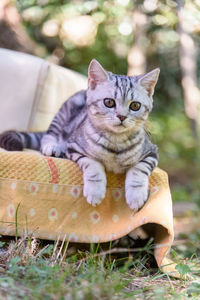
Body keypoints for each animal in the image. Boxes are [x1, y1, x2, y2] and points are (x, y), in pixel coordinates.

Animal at [0, 59, 159, 211]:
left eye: (135, 106)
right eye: (109, 102)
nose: (122, 116)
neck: (115, 142)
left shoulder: (151, 152)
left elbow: (139, 170)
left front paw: (136, 196)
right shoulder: (75, 147)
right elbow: (93, 166)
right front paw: (95, 191)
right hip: (64, 113)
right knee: (48, 136)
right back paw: (53, 147)